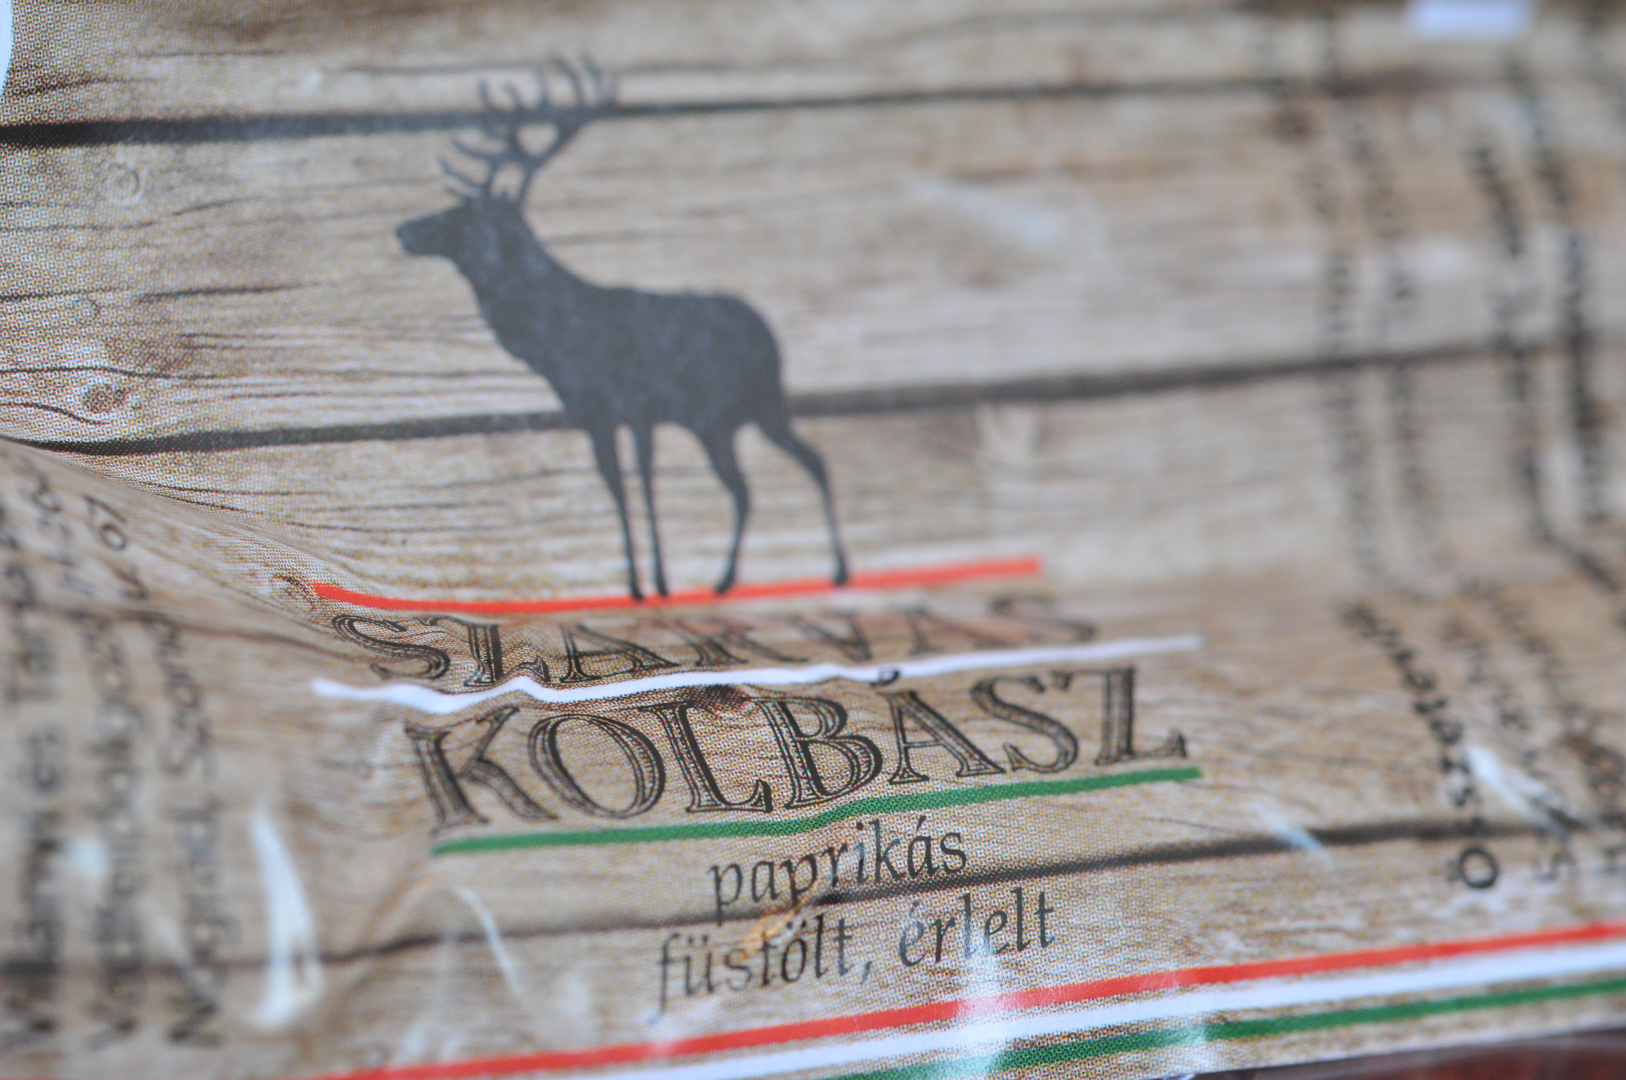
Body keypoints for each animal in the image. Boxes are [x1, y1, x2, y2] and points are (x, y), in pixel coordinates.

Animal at [396, 60, 849, 601]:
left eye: (462, 216)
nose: (403, 230)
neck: (554, 337)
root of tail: (769, 334)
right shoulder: (598, 413)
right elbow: (619, 486)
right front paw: (639, 582)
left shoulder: (630, 407)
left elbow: (642, 483)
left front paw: (656, 583)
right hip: (724, 420)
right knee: (766, 479)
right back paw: (745, 578)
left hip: (750, 408)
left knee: (783, 473)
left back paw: (811, 572)